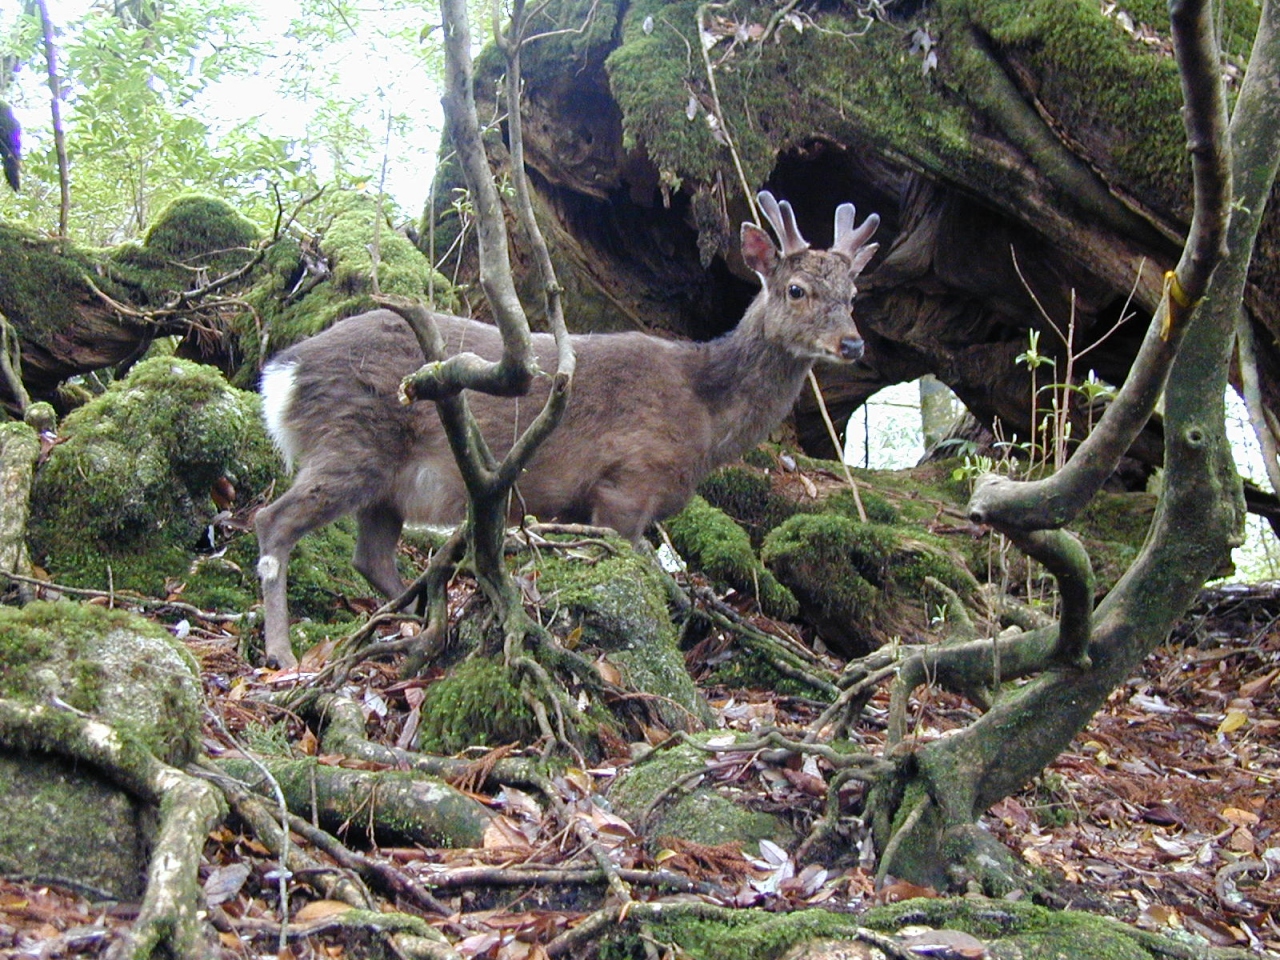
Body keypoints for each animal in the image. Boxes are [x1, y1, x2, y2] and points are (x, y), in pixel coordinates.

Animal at [256, 190, 885, 665]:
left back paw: (417, 624)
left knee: (370, 557)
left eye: (854, 295)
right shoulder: (625, 483)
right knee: (273, 521)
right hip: (350, 438)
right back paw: (283, 654)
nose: (853, 344)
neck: (705, 416)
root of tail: (283, 372)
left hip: (384, 481)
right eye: (796, 290)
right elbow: (639, 578)